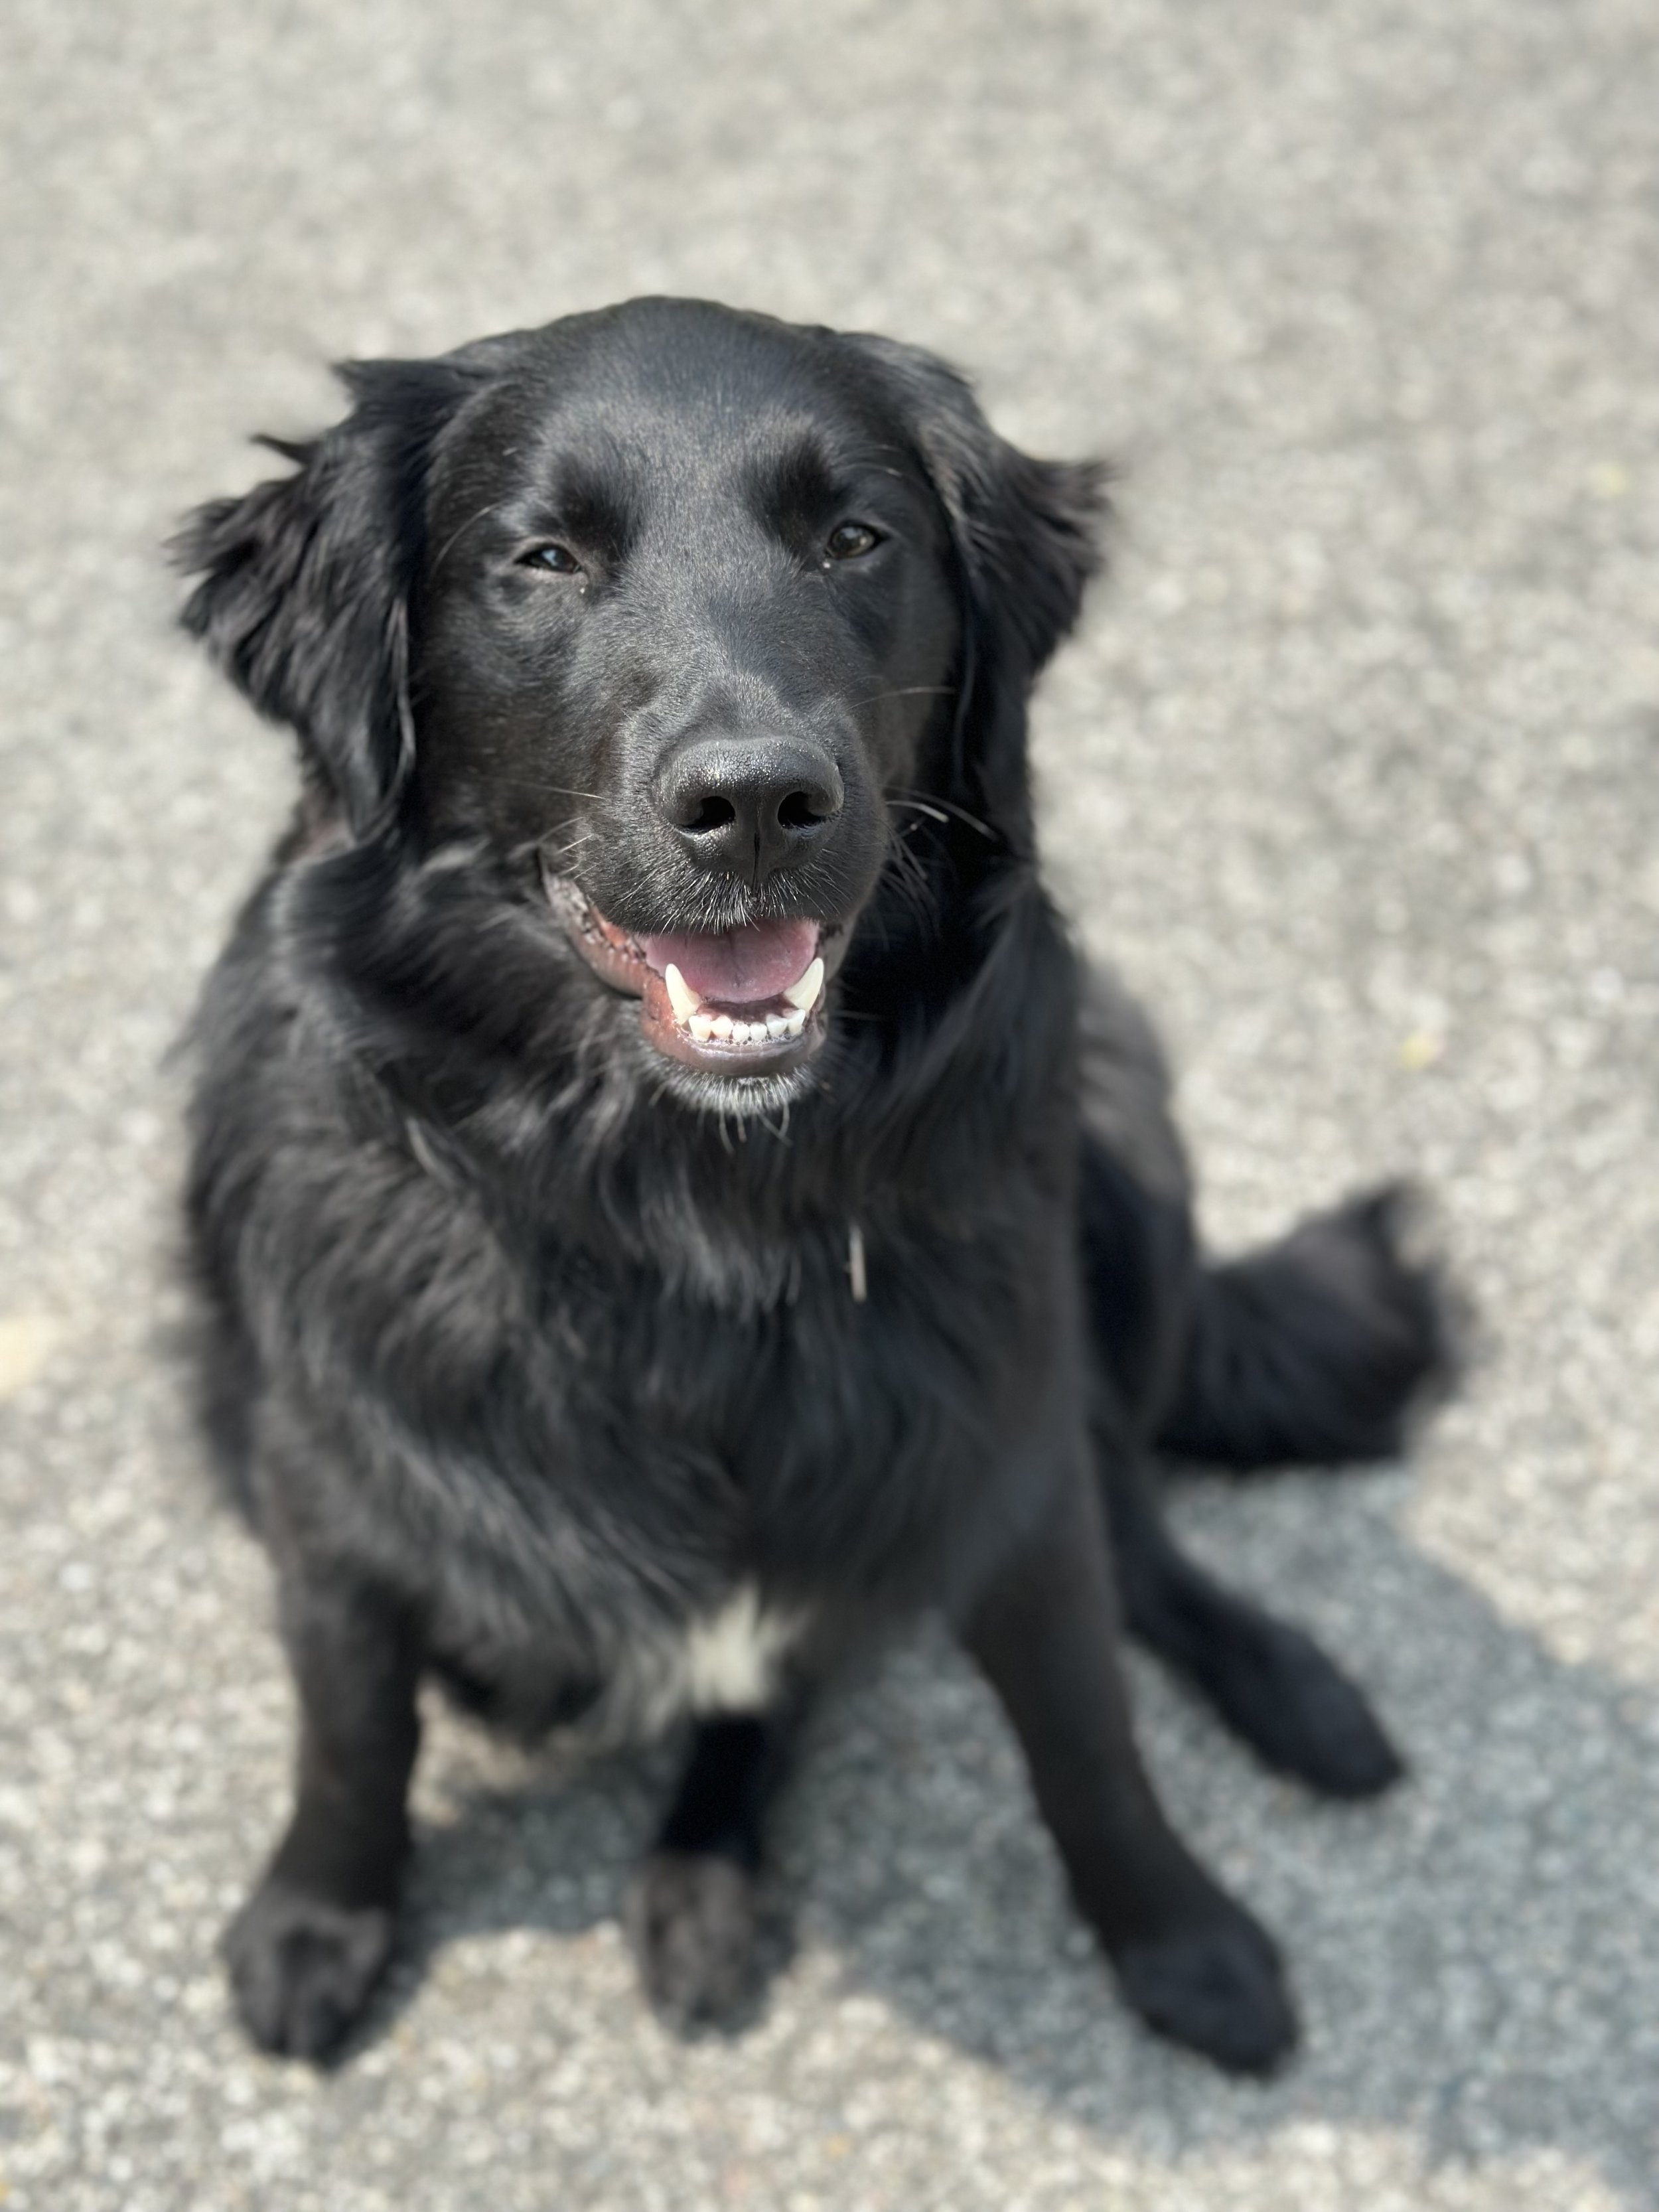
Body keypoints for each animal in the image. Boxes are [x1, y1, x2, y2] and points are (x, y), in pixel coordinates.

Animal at [176, 297, 1445, 2075]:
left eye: (855, 538)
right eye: (543, 557)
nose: (758, 803)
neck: (689, 1207)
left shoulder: (1000, 1450)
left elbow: (1088, 1731)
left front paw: (1181, 1935)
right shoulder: (329, 1486)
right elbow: (351, 1729)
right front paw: (319, 1915)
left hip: (1123, 1147)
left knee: (1133, 1530)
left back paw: (1287, 1687)